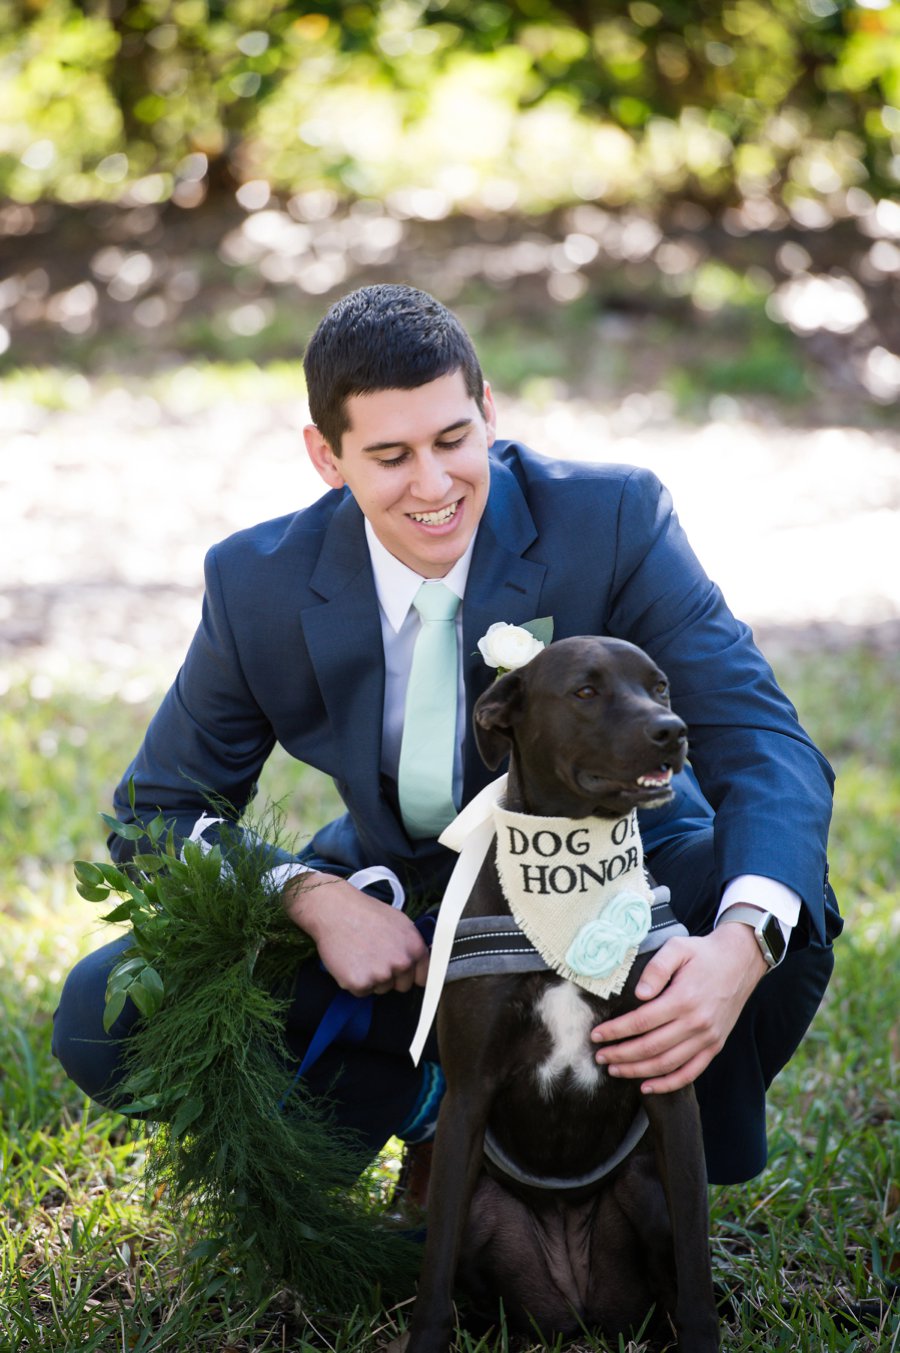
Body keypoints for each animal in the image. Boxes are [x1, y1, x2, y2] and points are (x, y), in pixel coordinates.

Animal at [403, 635, 720, 1353]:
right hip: (483, 1211)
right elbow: (432, 1275)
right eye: (585, 691)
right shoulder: (467, 1094)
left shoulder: (671, 1089)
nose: (673, 730)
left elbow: (696, 1261)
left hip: (644, 1192)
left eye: (659, 686)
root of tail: (577, 1304)